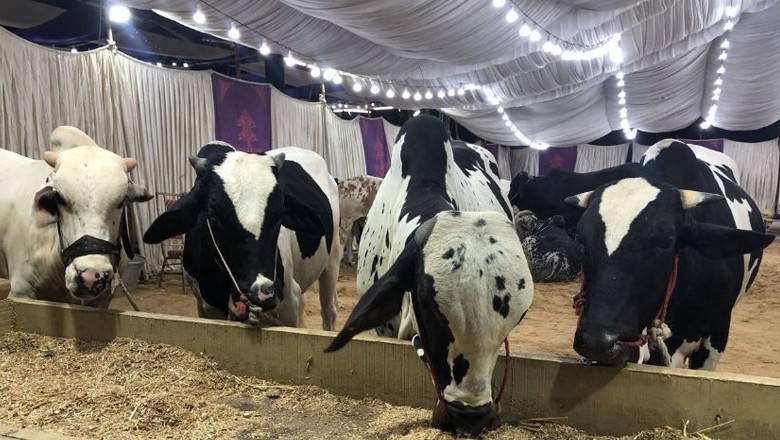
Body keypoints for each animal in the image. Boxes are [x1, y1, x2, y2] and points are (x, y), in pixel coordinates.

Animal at [143, 143, 340, 330]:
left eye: (280, 212)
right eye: (213, 213)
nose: (262, 291)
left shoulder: (287, 305)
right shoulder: (207, 307)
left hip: (332, 262)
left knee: (329, 311)